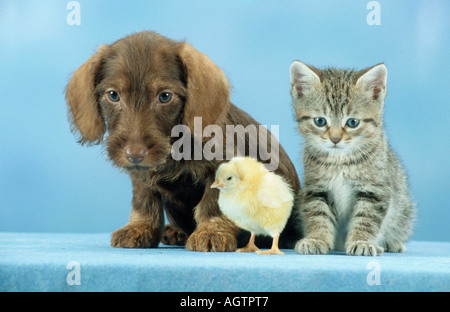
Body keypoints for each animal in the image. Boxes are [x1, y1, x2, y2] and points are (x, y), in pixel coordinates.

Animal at [65, 31, 300, 251]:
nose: (134, 154)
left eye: (165, 96)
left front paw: (211, 231)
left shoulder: (222, 168)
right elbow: (144, 202)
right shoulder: (141, 176)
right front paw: (139, 227)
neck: (175, 147)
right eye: (113, 95)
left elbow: (211, 205)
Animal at [290, 61, 414, 256]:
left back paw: (392, 243)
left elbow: (366, 218)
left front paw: (361, 241)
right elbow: (318, 214)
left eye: (352, 122)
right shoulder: (316, 188)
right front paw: (316, 238)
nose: (335, 139)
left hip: (404, 209)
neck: (339, 160)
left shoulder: (374, 189)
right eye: (320, 121)